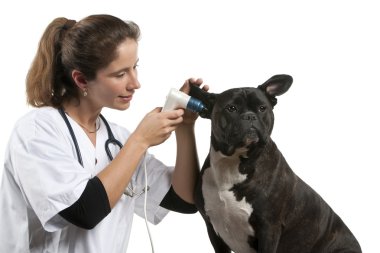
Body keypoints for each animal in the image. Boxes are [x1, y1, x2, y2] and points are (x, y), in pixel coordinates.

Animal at [190, 74, 362, 252]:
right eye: (231, 108)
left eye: (262, 108)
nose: (250, 115)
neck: (234, 162)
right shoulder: (213, 229)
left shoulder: (269, 229)